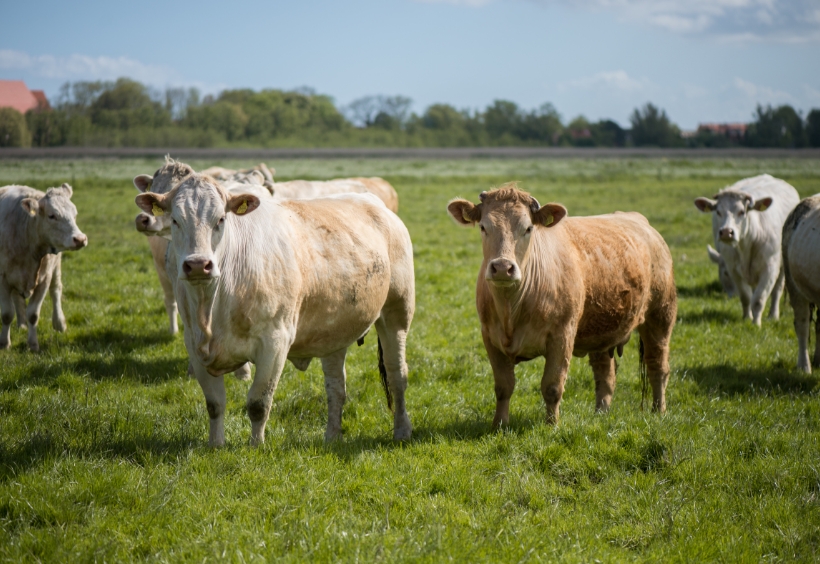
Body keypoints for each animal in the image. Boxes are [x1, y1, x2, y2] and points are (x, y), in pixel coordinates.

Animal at [0, 183, 87, 350]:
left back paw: (58, 323)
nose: (80, 239)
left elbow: (33, 314)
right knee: (17, 298)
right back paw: (22, 325)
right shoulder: (4, 279)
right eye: (52, 216)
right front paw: (5, 343)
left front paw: (33, 344)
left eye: (75, 214)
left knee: (56, 290)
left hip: (56, 266)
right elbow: (7, 314)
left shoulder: (44, 279)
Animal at [138, 174, 416, 448]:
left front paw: (256, 446)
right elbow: (215, 404)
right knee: (336, 386)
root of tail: (373, 201)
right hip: (334, 331)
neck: (212, 308)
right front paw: (215, 445)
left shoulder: (275, 342)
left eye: (220, 219)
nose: (198, 265)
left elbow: (258, 403)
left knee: (397, 375)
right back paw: (332, 436)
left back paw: (402, 430)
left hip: (397, 313)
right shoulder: (194, 345)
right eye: (175, 220)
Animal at [448, 185, 680, 428]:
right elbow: (503, 387)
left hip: (660, 316)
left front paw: (552, 425)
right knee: (605, 373)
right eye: (483, 227)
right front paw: (499, 425)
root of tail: (641, 222)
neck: (511, 310)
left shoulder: (562, 336)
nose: (502, 268)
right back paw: (601, 413)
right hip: (601, 329)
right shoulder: (490, 337)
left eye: (528, 228)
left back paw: (659, 410)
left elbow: (552, 386)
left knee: (658, 366)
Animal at [692, 175, 800, 326]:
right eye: (718, 212)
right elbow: (746, 297)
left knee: (777, 291)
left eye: (742, 212)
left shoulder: (769, 269)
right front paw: (747, 318)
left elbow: (759, 299)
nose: (726, 232)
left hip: (783, 267)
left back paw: (773, 315)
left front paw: (756, 324)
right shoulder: (733, 269)